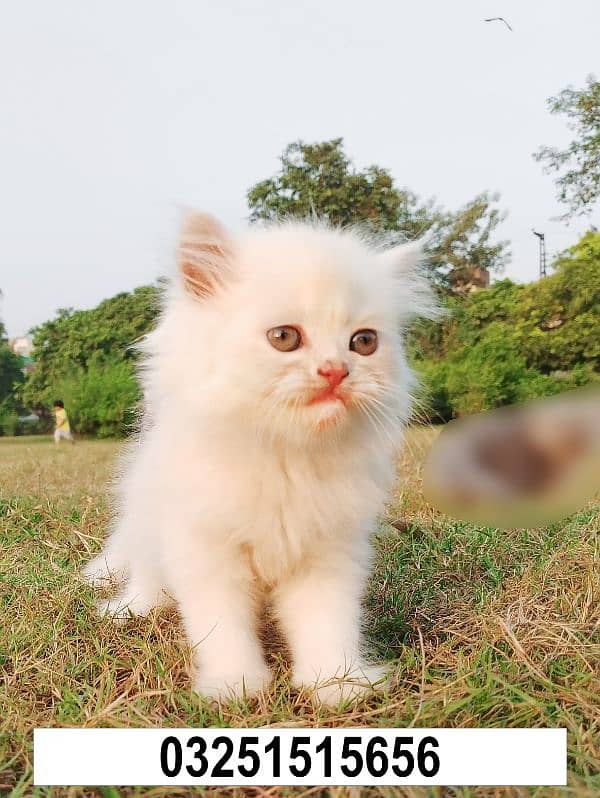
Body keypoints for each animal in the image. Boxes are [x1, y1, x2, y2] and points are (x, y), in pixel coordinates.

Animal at [82, 214, 434, 708]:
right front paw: (235, 686)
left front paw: (336, 684)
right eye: (284, 338)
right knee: (146, 578)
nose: (336, 371)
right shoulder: (205, 550)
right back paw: (129, 610)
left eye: (363, 342)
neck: (286, 458)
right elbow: (221, 628)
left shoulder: (329, 554)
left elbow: (329, 624)